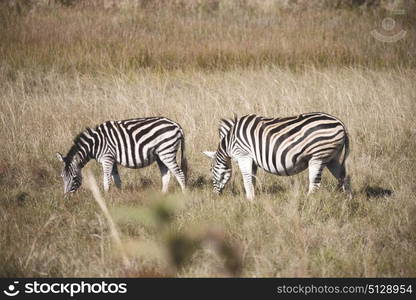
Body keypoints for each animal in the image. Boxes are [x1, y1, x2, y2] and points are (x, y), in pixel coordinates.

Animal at [55, 117, 187, 195]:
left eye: (74, 178)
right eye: (62, 177)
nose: (66, 198)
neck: (95, 144)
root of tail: (176, 124)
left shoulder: (107, 158)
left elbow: (106, 180)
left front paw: (106, 198)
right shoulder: (112, 159)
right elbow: (116, 179)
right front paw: (119, 196)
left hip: (166, 152)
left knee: (180, 174)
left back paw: (184, 195)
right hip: (160, 155)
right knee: (166, 175)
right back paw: (162, 195)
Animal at [203, 112, 350, 199]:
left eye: (211, 169)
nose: (214, 196)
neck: (229, 142)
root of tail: (340, 123)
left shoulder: (243, 155)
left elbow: (246, 179)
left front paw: (249, 200)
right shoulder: (252, 160)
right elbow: (252, 179)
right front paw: (253, 199)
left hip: (318, 156)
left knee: (315, 183)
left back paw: (308, 202)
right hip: (332, 158)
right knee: (344, 177)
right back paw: (347, 201)